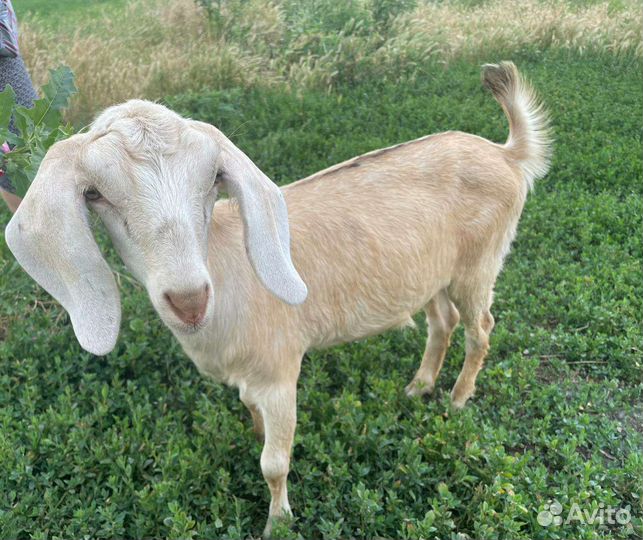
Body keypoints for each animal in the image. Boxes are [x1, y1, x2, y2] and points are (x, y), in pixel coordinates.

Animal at [5, 62, 551, 537]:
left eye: (211, 180)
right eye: (95, 195)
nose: (188, 299)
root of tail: (506, 155)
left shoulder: (280, 370)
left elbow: (273, 462)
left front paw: (278, 522)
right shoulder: (251, 376)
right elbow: (251, 416)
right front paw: (253, 433)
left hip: (479, 263)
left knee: (481, 328)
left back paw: (457, 400)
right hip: (432, 274)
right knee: (442, 321)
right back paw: (419, 387)